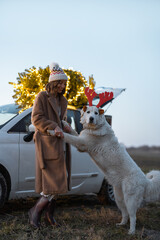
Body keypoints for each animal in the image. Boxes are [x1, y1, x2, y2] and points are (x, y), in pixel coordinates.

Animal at [60, 106, 159, 234]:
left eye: (96, 113)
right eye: (88, 112)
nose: (91, 118)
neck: (95, 128)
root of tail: (145, 180)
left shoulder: (81, 143)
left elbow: (68, 136)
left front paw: (55, 132)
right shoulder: (81, 140)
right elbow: (73, 132)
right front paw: (64, 124)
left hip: (130, 200)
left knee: (133, 216)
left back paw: (131, 232)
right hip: (119, 198)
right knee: (125, 213)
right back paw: (121, 224)